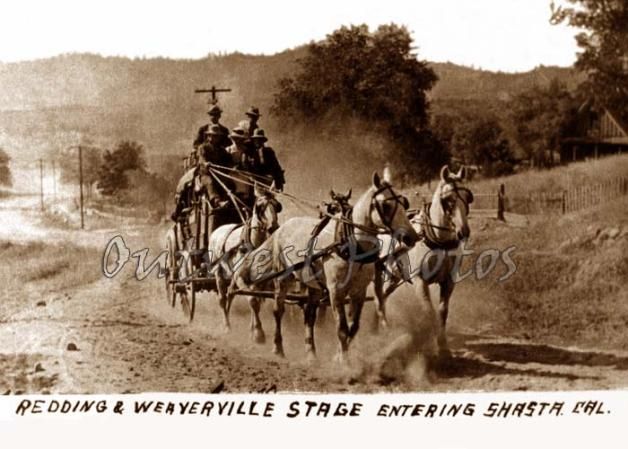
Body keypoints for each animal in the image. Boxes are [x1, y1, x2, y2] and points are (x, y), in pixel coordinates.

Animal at [228, 168, 420, 360]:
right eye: (386, 205)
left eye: (403, 203)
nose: (411, 236)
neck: (352, 245)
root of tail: (281, 228)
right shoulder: (335, 291)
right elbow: (342, 328)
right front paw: (343, 360)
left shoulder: (359, 291)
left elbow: (353, 327)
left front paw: (338, 355)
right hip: (283, 278)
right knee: (278, 310)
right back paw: (276, 346)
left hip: (313, 285)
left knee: (309, 315)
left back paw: (311, 352)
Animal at [372, 164, 472, 356]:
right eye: (449, 199)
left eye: (467, 197)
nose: (463, 231)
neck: (439, 241)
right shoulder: (420, 281)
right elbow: (429, 311)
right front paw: (435, 344)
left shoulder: (449, 281)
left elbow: (442, 312)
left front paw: (443, 346)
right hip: (382, 274)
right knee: (377, 297)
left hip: (394, 278)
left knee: (382, 297)